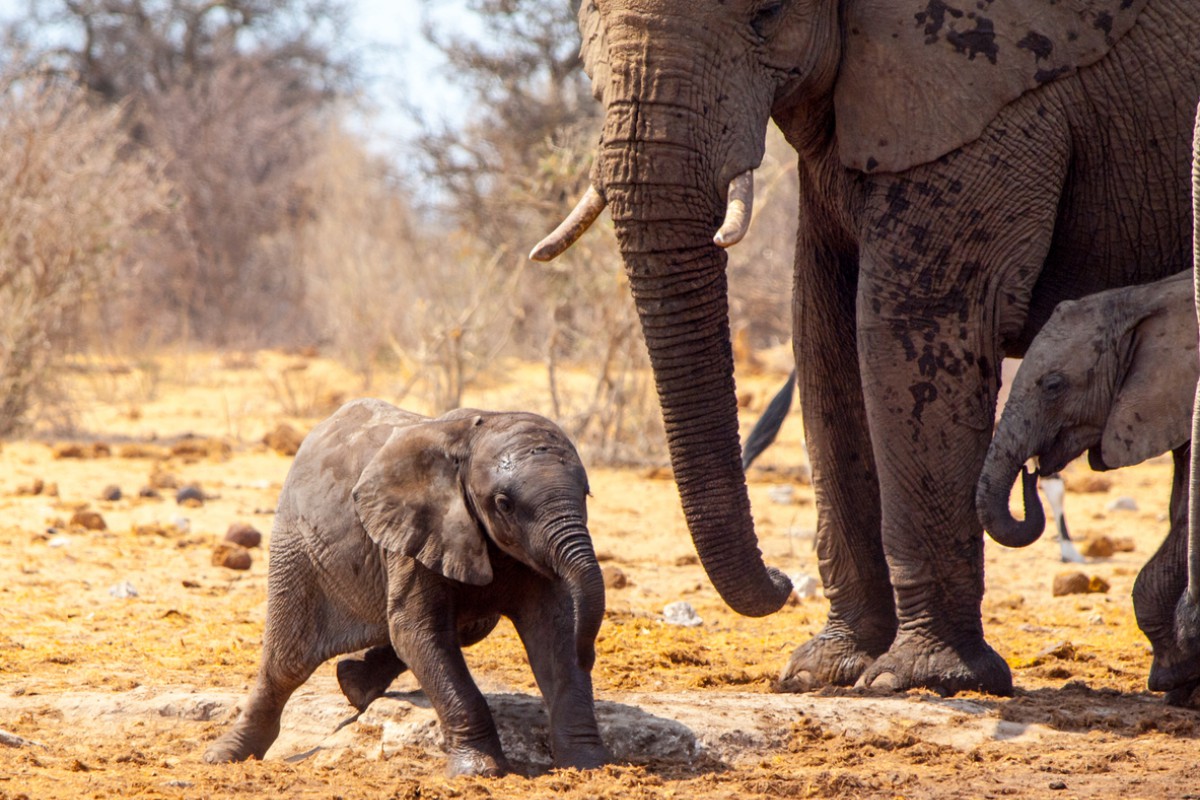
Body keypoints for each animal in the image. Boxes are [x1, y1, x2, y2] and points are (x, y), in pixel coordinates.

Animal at [202, 400, 609, 777]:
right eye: (503, 504)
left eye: (587, 494)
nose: (589, 655)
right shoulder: (411, 534)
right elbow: (417, 631)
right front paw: (478, 772)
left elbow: (554, 632)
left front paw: (588, 766)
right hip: (298, 548)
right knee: (287, 661)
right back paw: (224, 756)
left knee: (468, 628)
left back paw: (354, 684)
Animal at [974, 272, 1200, 705]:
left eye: (1053, 385)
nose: (1031, 470)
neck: (1142, 299)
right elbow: (1181, 509)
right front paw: (1179, 678)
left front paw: (1173, 675)